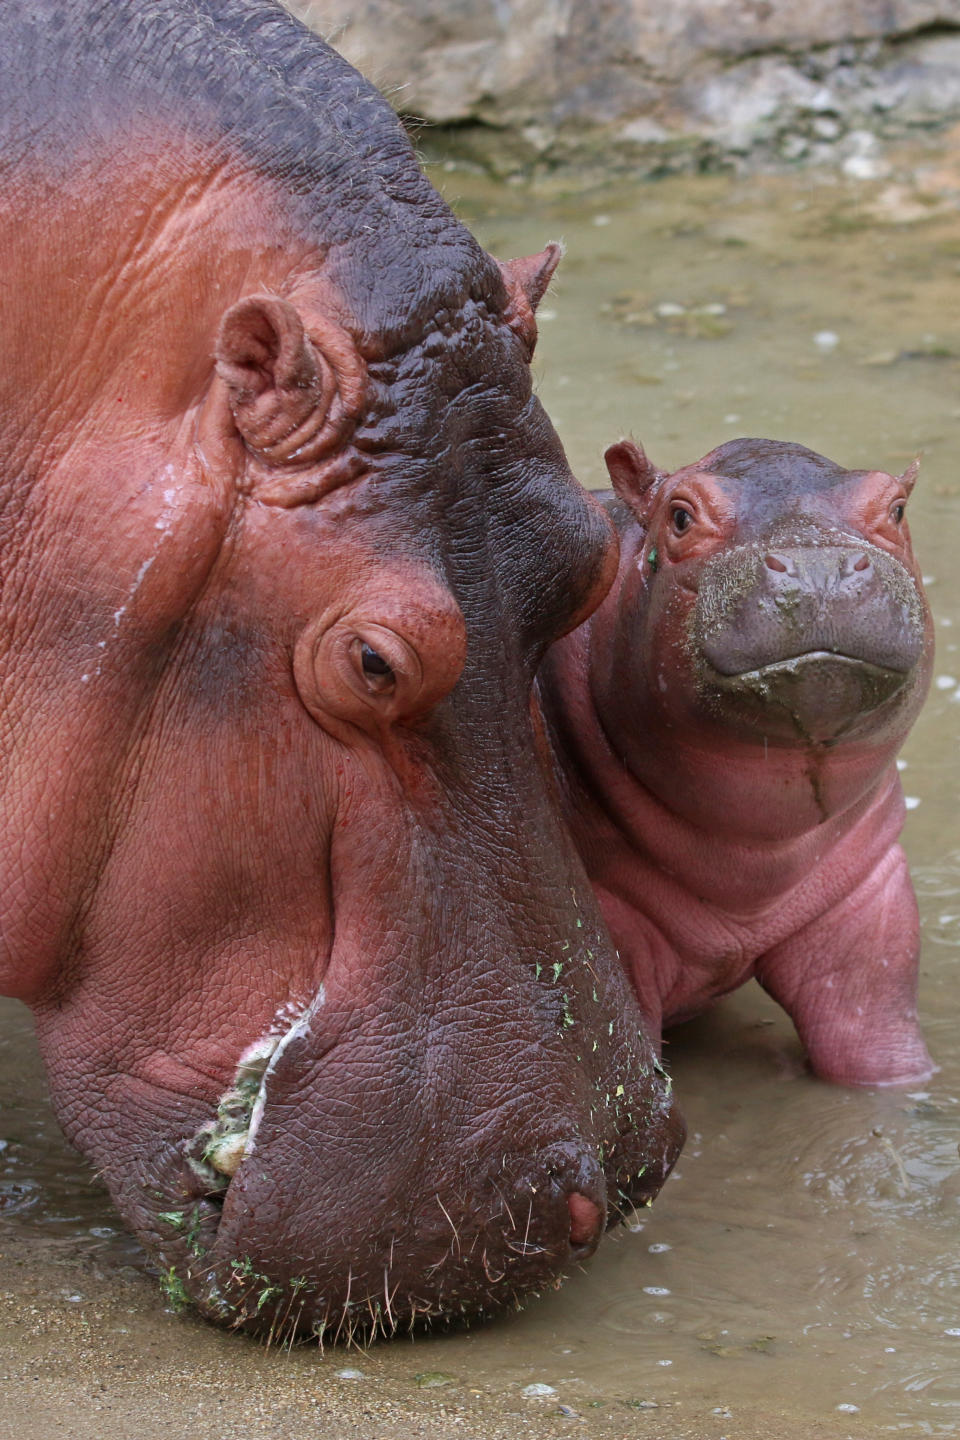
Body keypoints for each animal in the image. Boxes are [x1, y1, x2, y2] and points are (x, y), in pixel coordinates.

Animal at [541, 437, 938, 1088]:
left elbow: (870, 1038)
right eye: (679, 516)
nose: (817, 569)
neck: (757, 859)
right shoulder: (607, 925)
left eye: (897, 509)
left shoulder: (868, 900)